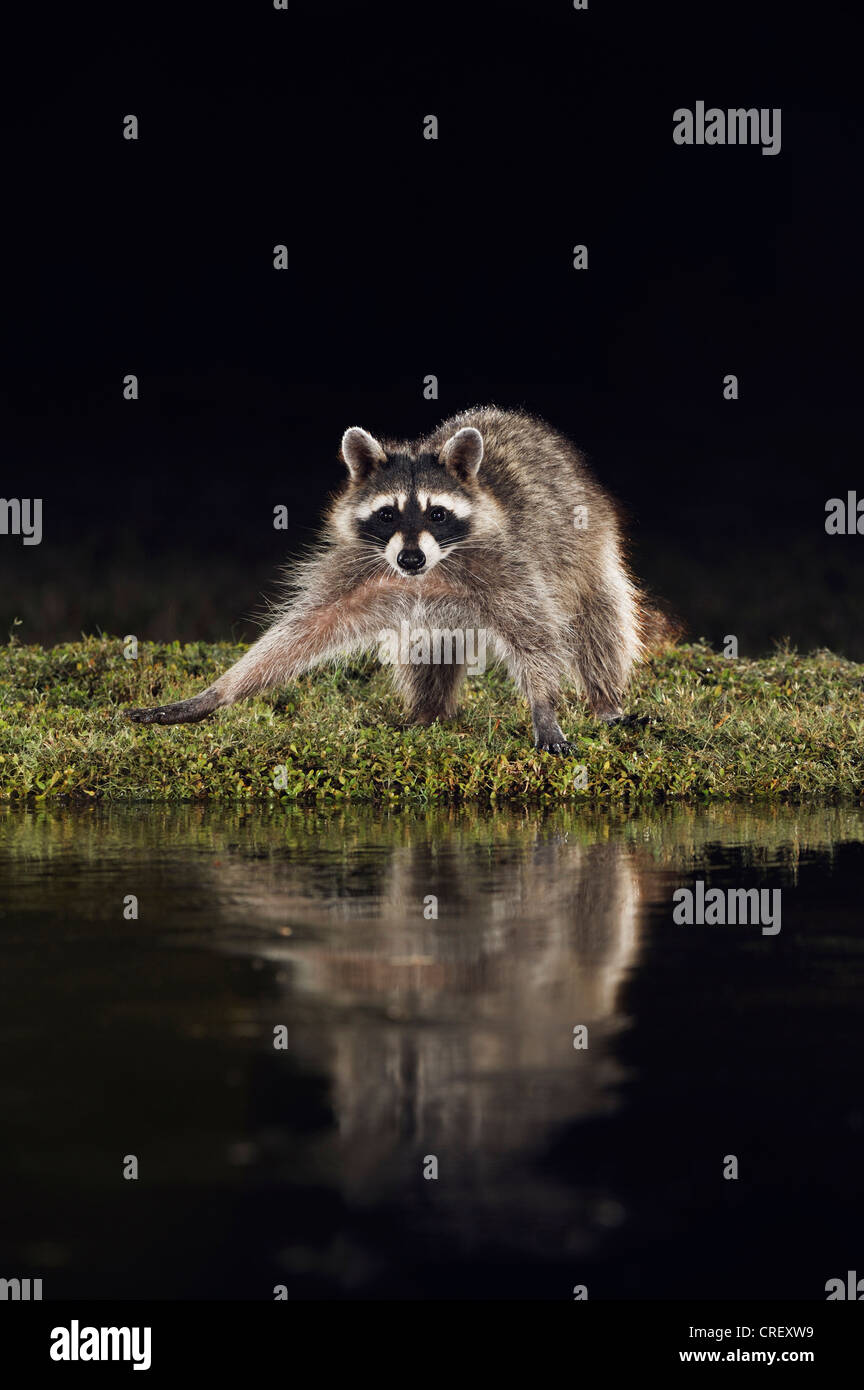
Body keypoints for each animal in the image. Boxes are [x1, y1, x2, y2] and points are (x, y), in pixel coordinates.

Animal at [125, 405, 675, 750]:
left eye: (437, 514)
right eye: (388, 514)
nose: (410, 559)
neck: (426, 574)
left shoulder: (508, 565)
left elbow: (537, 637)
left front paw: (545, 707)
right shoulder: (360, 568)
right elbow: (301, 632)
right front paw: (217, 693)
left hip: (587, 546)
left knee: (599, 622)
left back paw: (604, 699)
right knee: (426, 650)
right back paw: (427, 714)